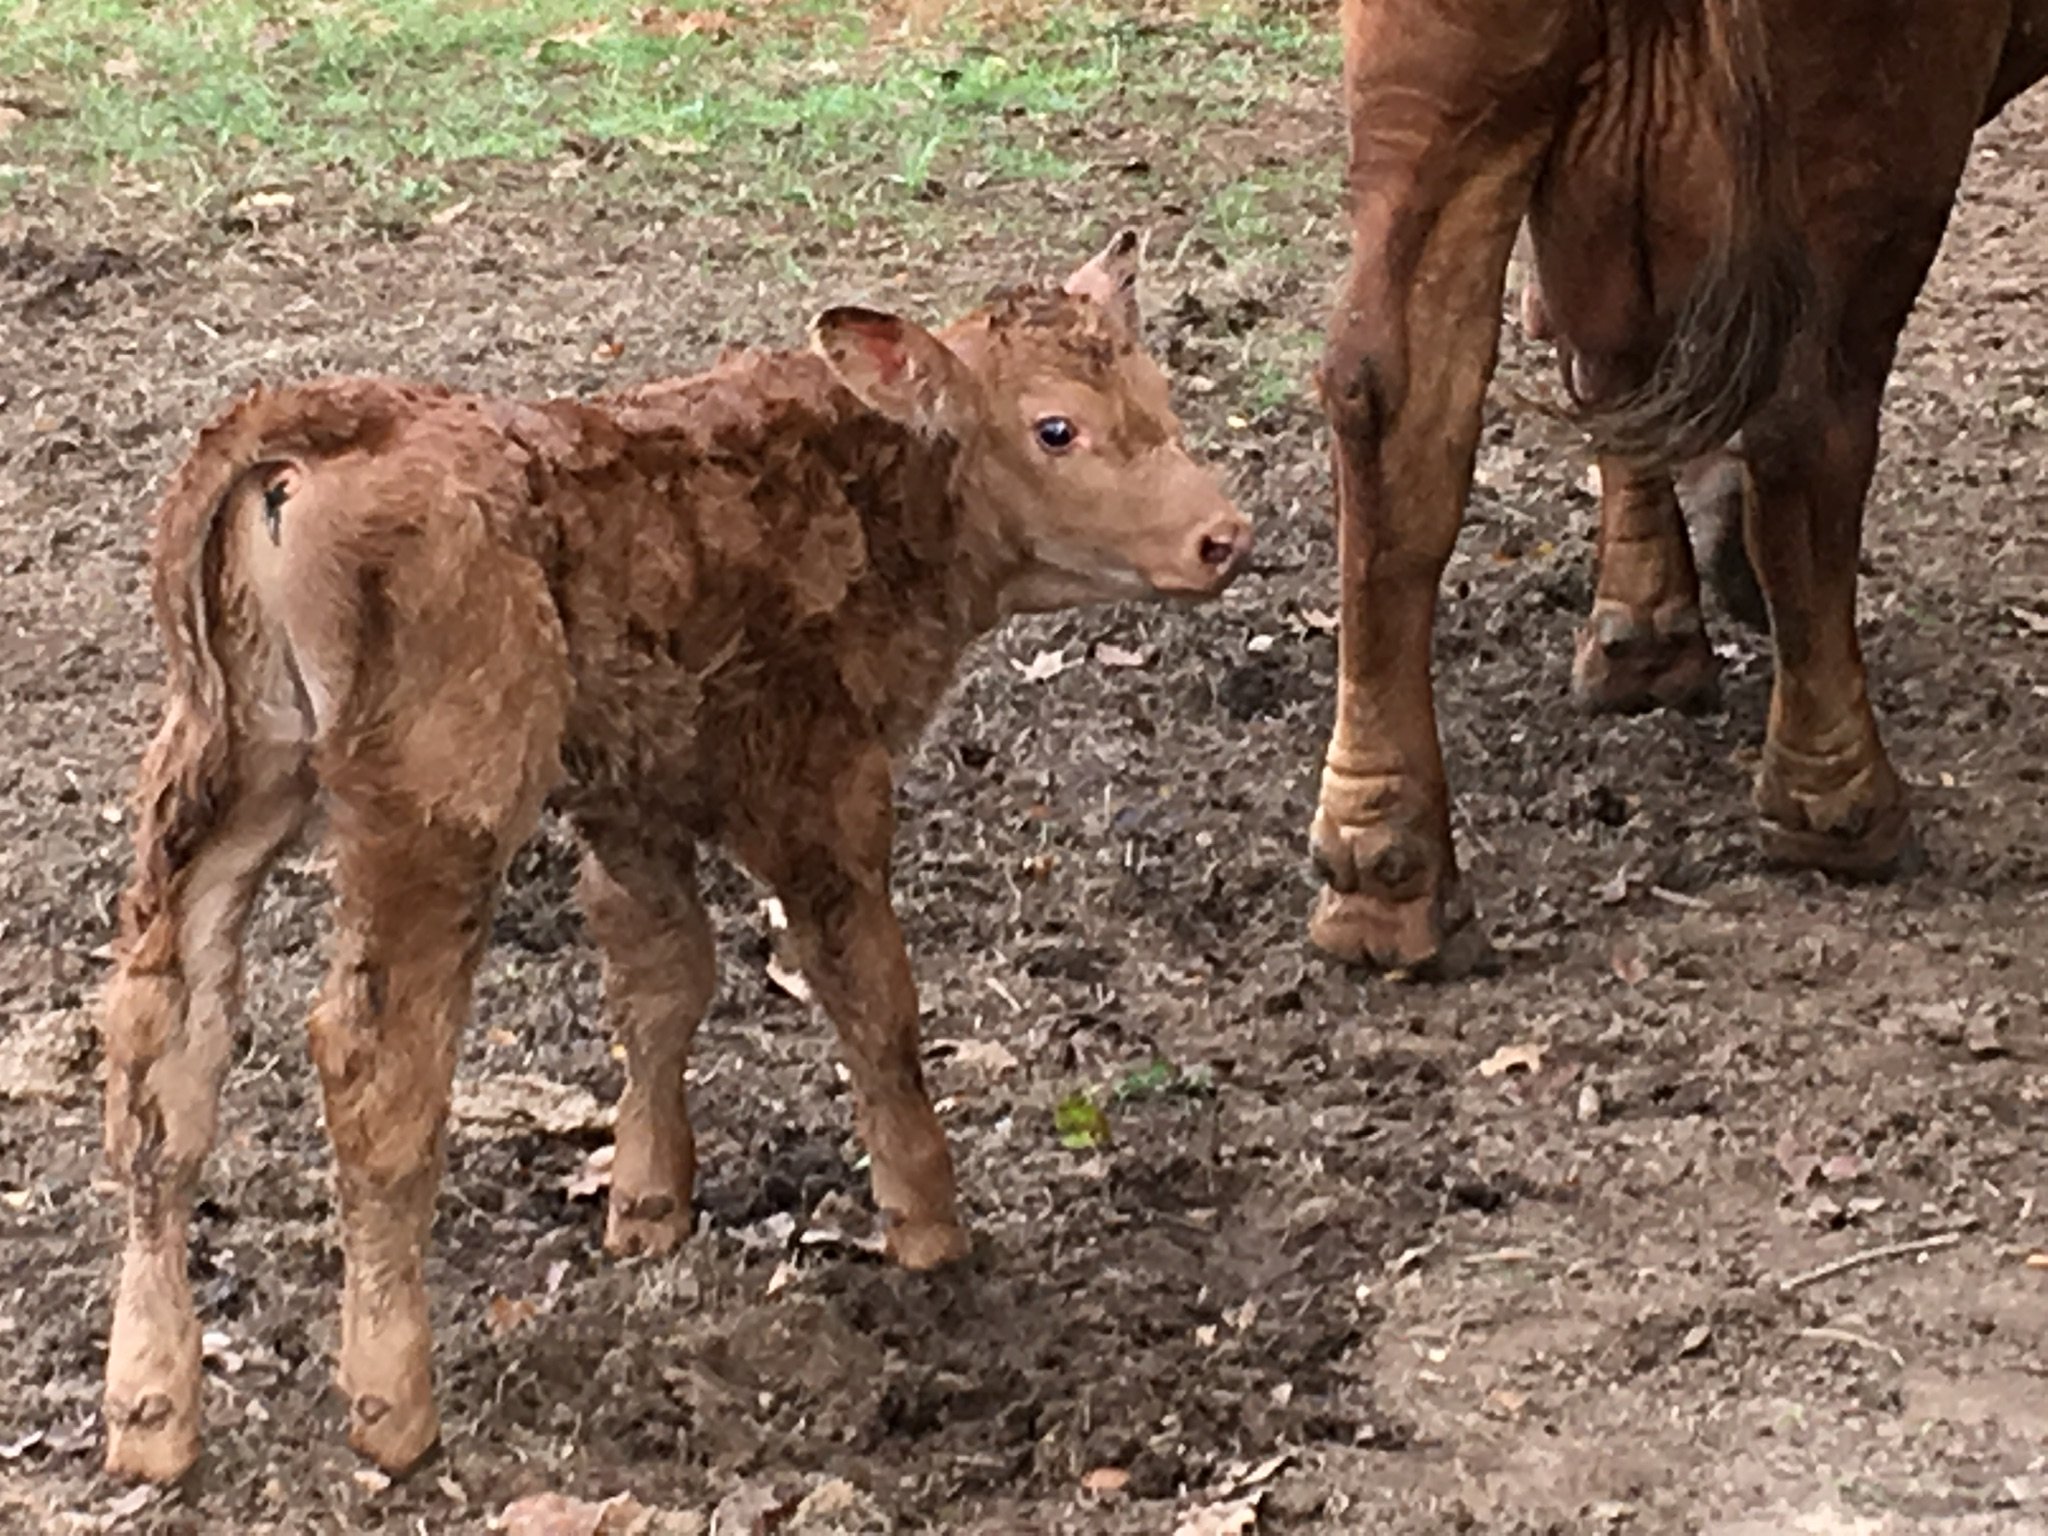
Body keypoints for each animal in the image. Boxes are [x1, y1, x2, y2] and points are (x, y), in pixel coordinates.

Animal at [99, 234, 1245, 1482]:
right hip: (433, 802)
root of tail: (319, 419)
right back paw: (390, 1402)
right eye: (1054, 428)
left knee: (164, 1047)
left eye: (1157, 398)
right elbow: (871, 997)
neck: (868, 483)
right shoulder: (821, 784)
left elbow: (660, 977)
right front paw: (928, 1226)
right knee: (371, 1058)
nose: (1221, 535)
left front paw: (646, 1205)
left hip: (220, 771)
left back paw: (149, 1410)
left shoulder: (628, 794)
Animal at [1310, 0, 2048, 974]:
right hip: (1874, 121)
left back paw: (1382, 873)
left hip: (1443, 82)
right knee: (1807, 417)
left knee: (1392, 396)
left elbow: (1610, 357)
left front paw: (1646, 637)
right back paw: (1840, 809)